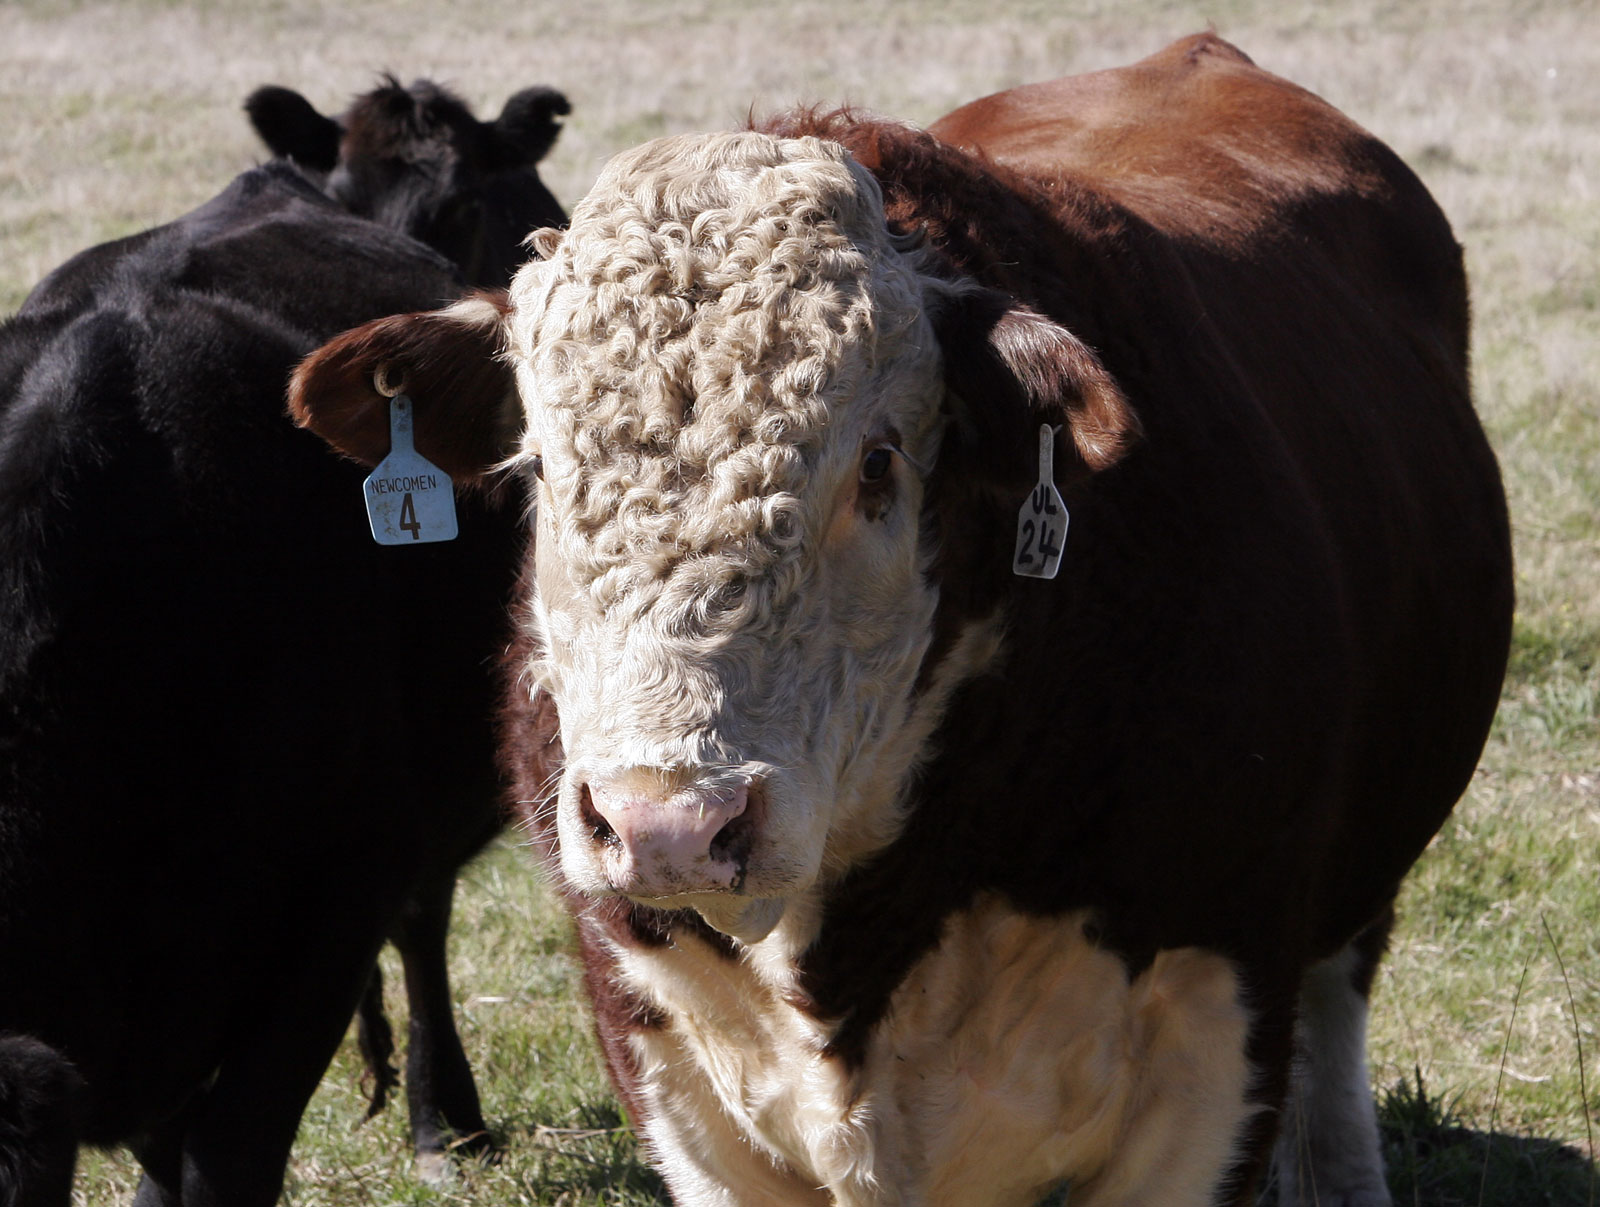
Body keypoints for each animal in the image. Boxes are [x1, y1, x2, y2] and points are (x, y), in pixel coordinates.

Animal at [288, 33, 1513, 1207]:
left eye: (878, 464)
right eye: (539, 464)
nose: (668, 824)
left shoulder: (1215, 1053)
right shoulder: (665, 1066)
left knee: (1342, 987)